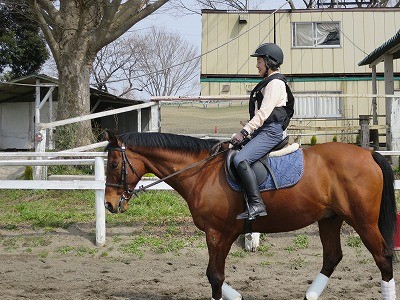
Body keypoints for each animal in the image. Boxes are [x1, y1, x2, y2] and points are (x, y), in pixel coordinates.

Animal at [103, 131, 396, 300]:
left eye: (114, 164)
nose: (109, 204)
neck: (202, 172)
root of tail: (369, 154)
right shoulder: (222, 234)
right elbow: (212, 274)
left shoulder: (217, 233)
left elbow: (215, 276)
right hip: (330, 219)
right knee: (332, 257)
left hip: (363, 221)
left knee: (382, 257)